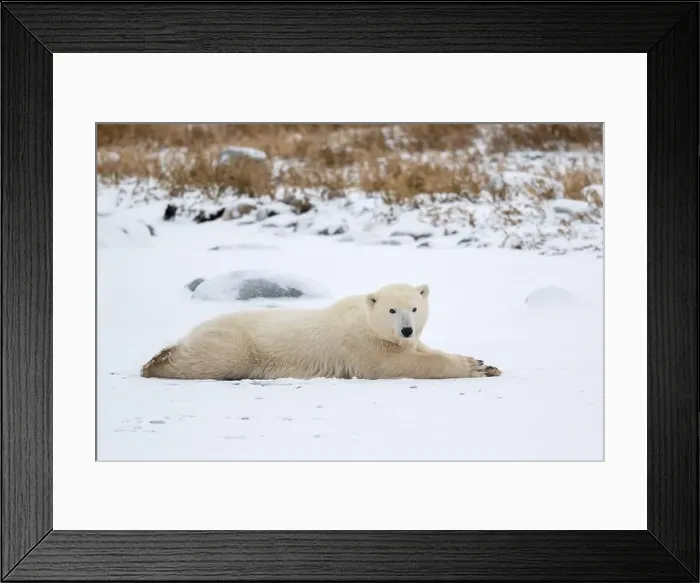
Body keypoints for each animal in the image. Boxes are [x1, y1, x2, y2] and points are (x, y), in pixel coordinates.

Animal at [140, 283, 501, 381]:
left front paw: (486, 363)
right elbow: (400, 365)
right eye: (391, 310)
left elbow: (423, 351)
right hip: (237, 344)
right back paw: (157, 362)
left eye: (414, 307)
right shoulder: (364, 348)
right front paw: (472, 367)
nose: (407, 330)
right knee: (208, 358)